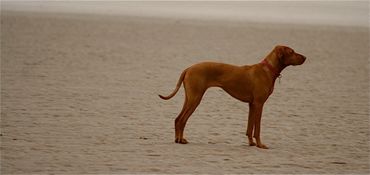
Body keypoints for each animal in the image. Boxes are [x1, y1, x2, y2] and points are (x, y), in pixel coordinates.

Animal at [159, 45, 306, 149]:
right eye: (292, 51)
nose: (305, 57)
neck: (268, 70)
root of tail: (188, 68)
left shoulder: (252, 105)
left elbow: (249, 128)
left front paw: (251, 143)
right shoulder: (259, 104)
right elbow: (257, 129)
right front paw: (260, 145)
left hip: (189, 98)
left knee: (177, 119)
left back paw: (178, 139)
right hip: (195, 98)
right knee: (182, 119)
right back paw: (180, 140)